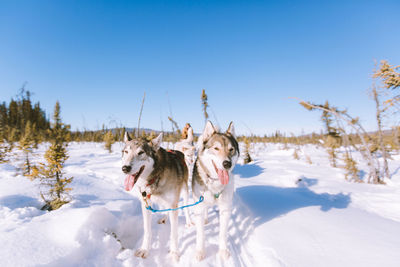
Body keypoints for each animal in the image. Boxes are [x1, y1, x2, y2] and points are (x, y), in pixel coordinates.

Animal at [122, 133, 191, 262]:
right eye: (126, 151)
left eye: (141, 152)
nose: (125, 168)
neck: (155, 177)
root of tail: (178, 151)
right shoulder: (146, 204)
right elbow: (147, 230)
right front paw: (145, 249)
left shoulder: (173, 204)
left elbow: (174, 233)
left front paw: (174, 252)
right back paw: (164, 218)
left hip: (184, 191)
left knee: (186, 207)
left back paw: (189, 221)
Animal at [192, 121, 239, 262]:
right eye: (216, 148)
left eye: (231, 149)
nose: (227, 164)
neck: (215, 183)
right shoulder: (199, 208)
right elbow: (200, 234)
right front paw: (200, 251)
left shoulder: (225, 209)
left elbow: (223, 233)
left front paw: (223, 251)